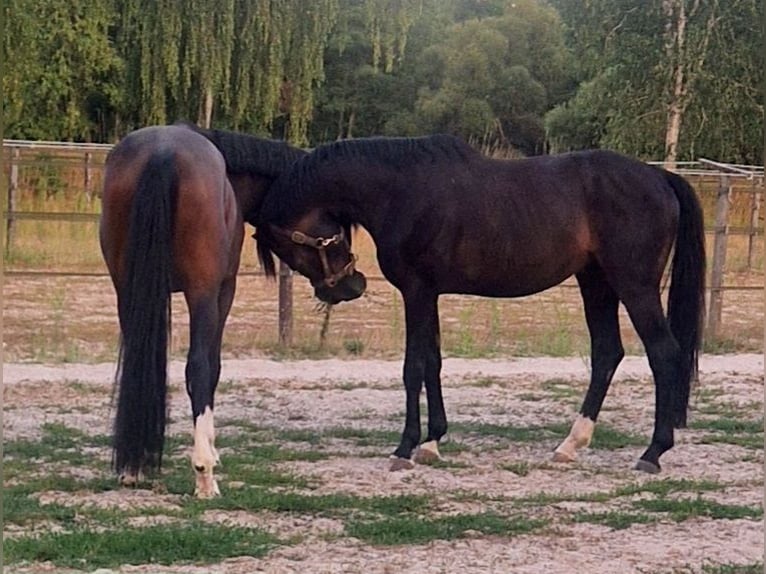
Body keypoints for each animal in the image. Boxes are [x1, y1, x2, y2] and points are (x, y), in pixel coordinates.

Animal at [100, 124, 305, 497]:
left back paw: (133, 467)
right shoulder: (222, 291)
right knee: (197, 366)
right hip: (202, 293)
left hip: (129, 290)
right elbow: (211, 368)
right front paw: (210, 454)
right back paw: (204, 474)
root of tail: (162, 152)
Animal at [254, 134, 706, 474]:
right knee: (607, 352)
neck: (399, 190)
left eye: (289, 247)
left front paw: (404, 448)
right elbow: (433, 362)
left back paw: (652, 453)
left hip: (634, 285)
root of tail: (659, 176)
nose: (347, 286)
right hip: (596, 282)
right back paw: (570, 444)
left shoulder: (417, 291)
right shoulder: (430, 294)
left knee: (664, 353)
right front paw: (433, 442)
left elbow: (413, 367)